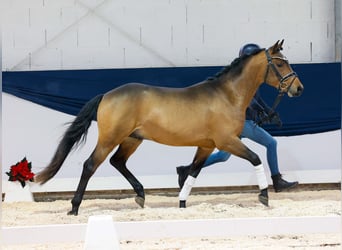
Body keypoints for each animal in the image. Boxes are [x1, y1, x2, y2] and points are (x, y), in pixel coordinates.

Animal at [35, 39, 302, 215]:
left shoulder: (206, 146)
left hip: (132, 139)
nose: (298, 88)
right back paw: (74, 208)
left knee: (117, 162)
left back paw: (141, 196)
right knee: (91, 165)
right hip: (111, 138)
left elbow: (193, 172)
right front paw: (264, 195)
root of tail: (107, 95)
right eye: (280, 64)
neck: (227, 95)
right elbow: (256, 158)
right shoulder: (227, 141)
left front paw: (182, 203)